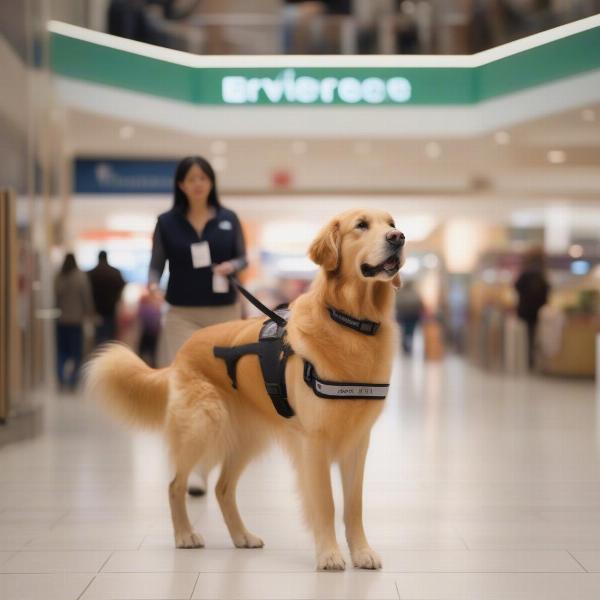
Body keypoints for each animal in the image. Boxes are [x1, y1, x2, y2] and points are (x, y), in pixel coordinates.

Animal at [85, 209, 404, 568]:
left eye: (391, 224)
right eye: (361, 225)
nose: (399, 238)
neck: (351, 324)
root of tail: (181, 352)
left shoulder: (358, 442)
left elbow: (353, 506)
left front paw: (361, 551)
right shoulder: (314, 441)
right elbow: (326, 503)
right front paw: (329, 554)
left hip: (249, 437)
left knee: (223, 488)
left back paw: (242, 536)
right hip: (202, 424)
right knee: (175, 484)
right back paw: (185, 535)